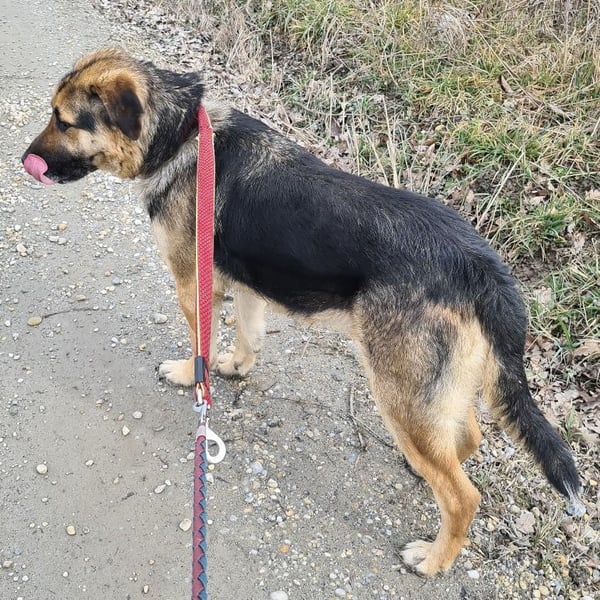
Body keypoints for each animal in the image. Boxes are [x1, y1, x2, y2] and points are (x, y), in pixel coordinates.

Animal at [22, 48, 582, 576]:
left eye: (64, 121)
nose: (26, 159)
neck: (180, 134)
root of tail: (479, 264)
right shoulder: (245, 282)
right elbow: (247, 335)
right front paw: (236, 366)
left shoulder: (193, 284)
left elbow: (201, 342)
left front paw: (189, 374)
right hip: (431, 391)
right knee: (465, 438)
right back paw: (422, 470)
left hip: (399, 391)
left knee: (465, 496)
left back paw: (434, 558)